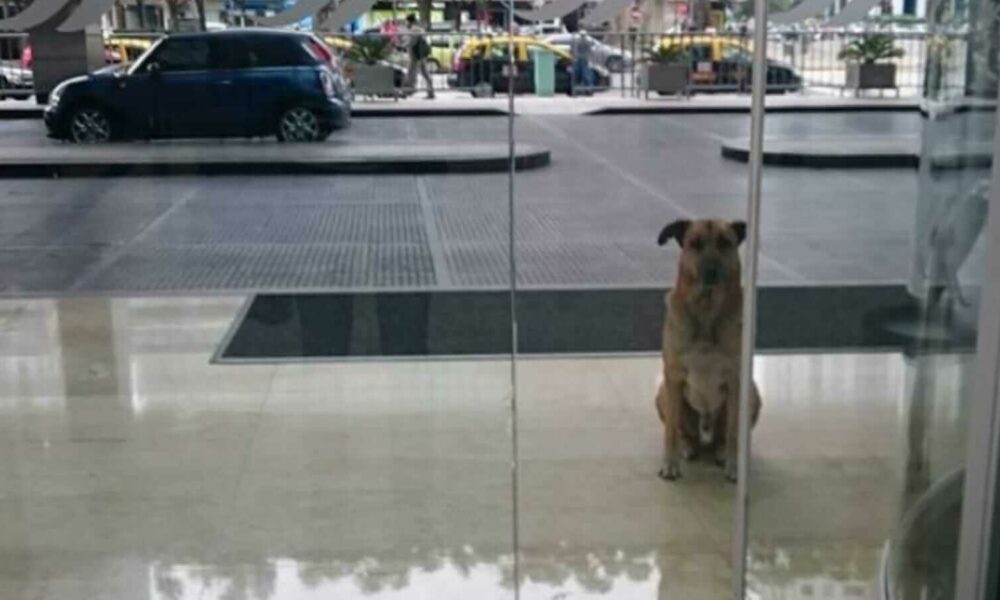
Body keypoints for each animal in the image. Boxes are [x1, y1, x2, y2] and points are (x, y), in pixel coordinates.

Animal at [656, 218, 756, 480]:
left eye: (724, 242)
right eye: (695, 243)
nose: (711, 271)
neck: (707, 313)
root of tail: (706, 423)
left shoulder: (736, 380)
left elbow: (733, 431)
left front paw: (734, 465)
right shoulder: (673, 377)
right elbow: (670, 431)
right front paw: (670, 463)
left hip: (752, 395)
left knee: (726, 435)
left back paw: (722, 451)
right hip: (664, 395)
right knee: (681, 430)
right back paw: (687, 446)